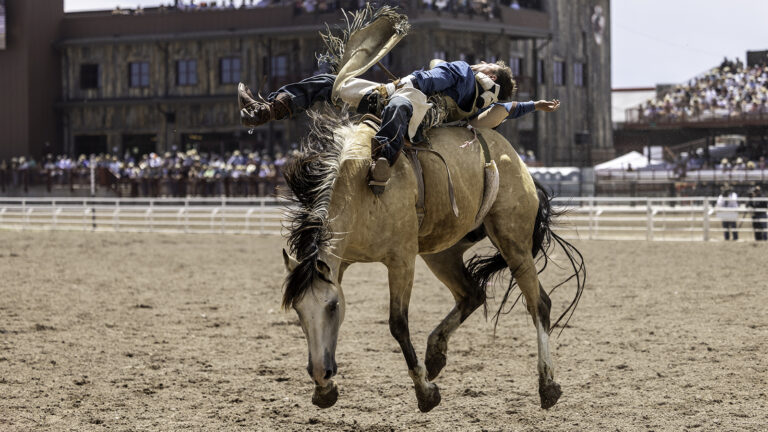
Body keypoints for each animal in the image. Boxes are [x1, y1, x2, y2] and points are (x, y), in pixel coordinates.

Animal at [280, 107, 584, 412]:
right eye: (297, 309)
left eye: (332, 307)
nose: (320, 373)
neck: (362, 185)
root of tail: (516, 161)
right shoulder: (339, 262)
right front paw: (324, 389)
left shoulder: (402, 260)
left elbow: (398, 324)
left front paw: (425, 392)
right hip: (441, 252)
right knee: (472, 294)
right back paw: (435, 354)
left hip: (513, 240)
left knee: (539, 304)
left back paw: (547, 385)